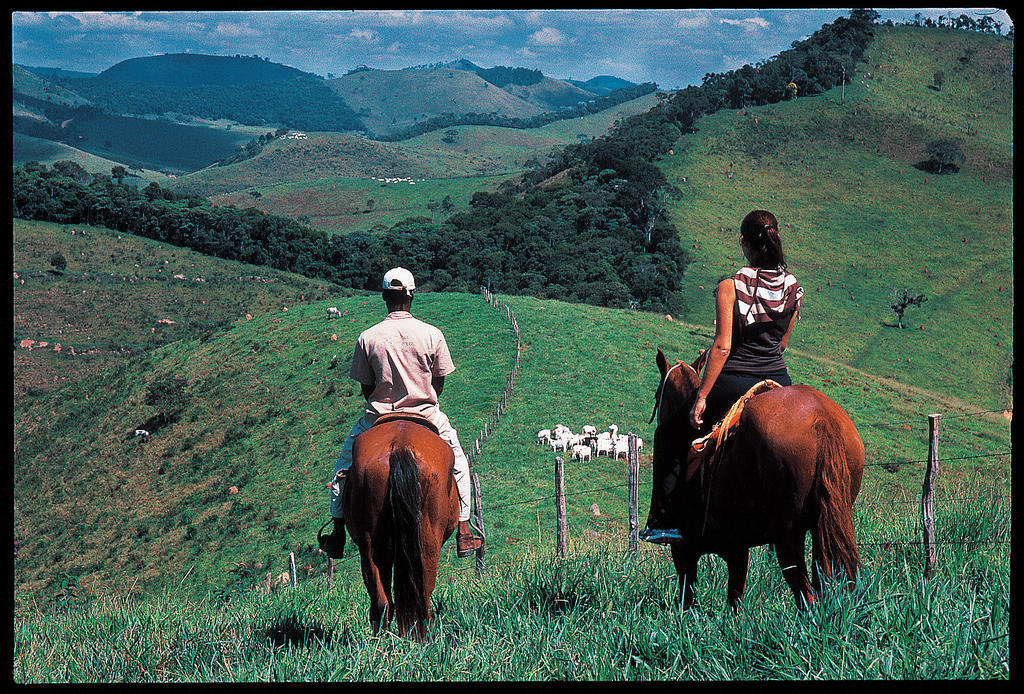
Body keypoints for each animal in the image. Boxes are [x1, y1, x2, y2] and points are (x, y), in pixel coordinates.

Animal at [651, 348, 860, 610]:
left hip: (788, 536)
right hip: (822, 529)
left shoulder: (685, 549)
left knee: (806, 595)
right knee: (822, 583)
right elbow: (734, 602)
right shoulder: (737, 549)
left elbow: (689, 600)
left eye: (657, 394)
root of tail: (821, 419)